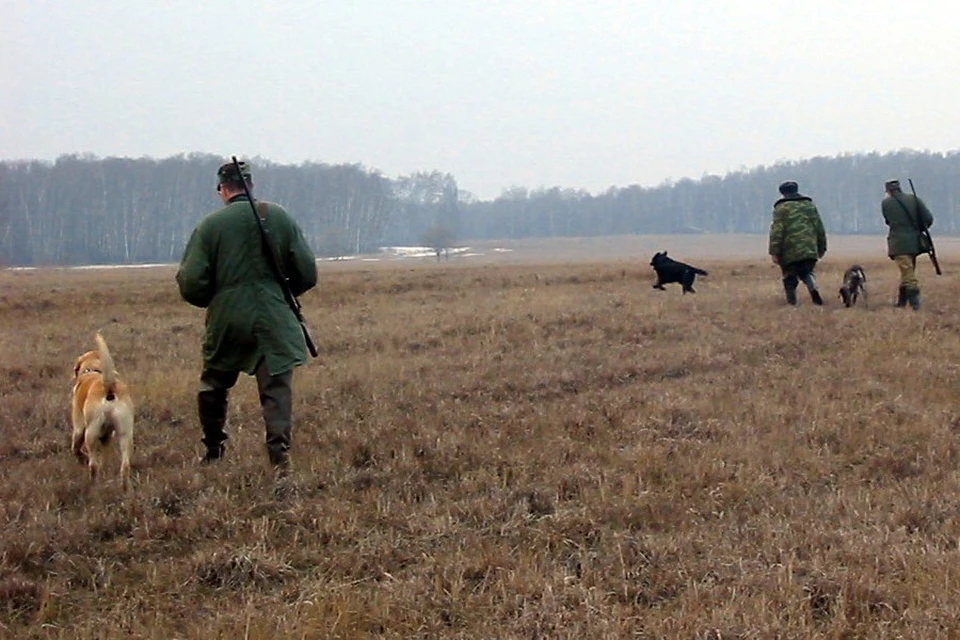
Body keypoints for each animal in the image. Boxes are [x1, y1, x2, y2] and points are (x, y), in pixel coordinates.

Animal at [71, 332, 134, 488]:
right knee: (125, 466)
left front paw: (81, 458)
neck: (93, 370)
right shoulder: (107, 435)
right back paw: (125, 488)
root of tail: (109, 387)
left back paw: (92, 483)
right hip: (125, 434)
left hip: (90, 433)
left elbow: (75, 447)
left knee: (93, 465)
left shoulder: (79, 427)